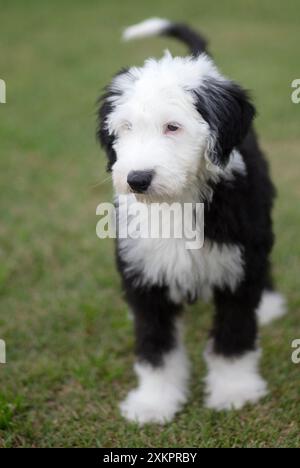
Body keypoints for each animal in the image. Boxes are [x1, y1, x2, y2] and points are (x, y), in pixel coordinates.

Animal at [97, 19, 288, 424]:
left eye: (173, 127)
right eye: (125, 127)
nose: (137, 179)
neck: (177, 201)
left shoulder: (236, 268)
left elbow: (233, 337)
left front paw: (234, 391)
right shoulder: (145, 274)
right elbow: (156, 348)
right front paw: (154, 403)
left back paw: (268, 304)